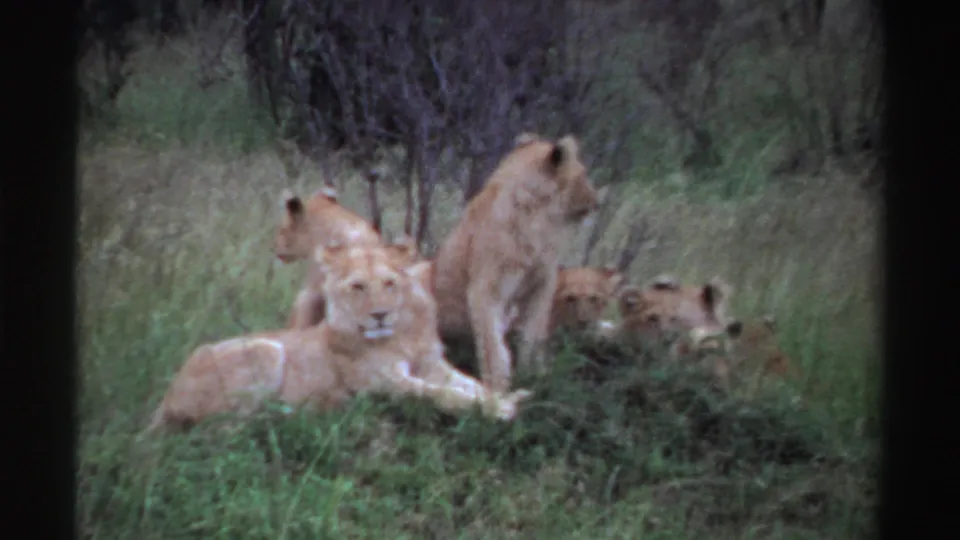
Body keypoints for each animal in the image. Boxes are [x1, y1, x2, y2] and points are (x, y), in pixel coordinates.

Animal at [145, 242, 532, 434]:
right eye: (358, 287)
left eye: (390, 283)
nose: (380, 314)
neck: (402, 334)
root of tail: (165, 398)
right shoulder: (384, 383)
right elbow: (443, 395)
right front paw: (499, 410)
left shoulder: (433, 366)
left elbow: (471, 385)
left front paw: (506, 397)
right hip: (266, 349)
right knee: (224, 427)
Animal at [429, 133, 601, 393]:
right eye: (582, 174)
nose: (596, 200)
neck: (539, 220)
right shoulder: (486, 289)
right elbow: (493, 345)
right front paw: (498, 387)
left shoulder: (542, 284)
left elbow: (533, 333)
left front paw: (535, 374)